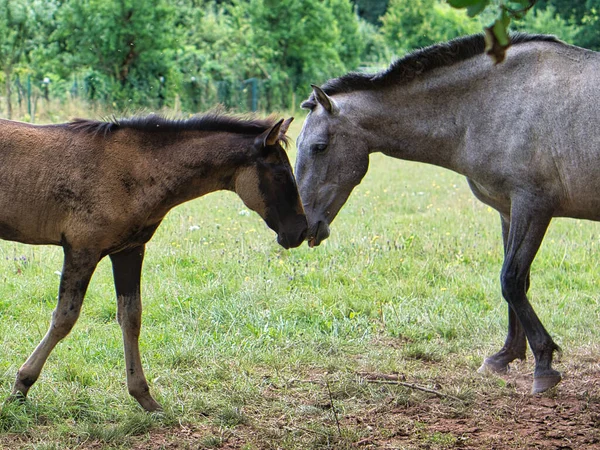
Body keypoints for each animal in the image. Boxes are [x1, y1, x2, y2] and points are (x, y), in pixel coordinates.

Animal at [296, 34, 600, 394]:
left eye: (319, 146)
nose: (300, 228)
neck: (492, 102)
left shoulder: (533, 206)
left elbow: (510, 280)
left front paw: (544, 362)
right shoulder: (509, 210)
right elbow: (518, 283)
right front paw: (504, 356)